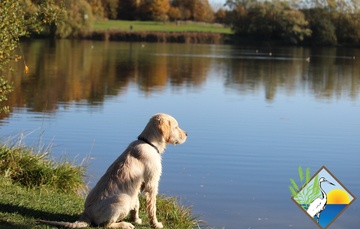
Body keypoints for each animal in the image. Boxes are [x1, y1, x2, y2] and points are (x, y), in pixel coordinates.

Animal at [38, 113, 187, 228]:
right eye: (176, 127)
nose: (187, 134)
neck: (148, 143)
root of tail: (86, 214)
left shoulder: (138, 186)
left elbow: (137, 205)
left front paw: (136, 219)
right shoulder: (151, 184)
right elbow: (152, 208)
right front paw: (155, 224)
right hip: (123, 198)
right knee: (105, 225)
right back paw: (124, 225)